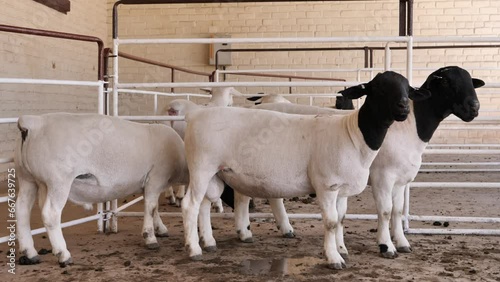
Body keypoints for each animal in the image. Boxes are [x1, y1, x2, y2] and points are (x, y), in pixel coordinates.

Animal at [182, 71, 432, 268]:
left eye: (407, 89)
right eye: (379, 88)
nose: (403, 107)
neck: (353, 134)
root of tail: (196, 114)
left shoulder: (341, 189)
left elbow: (340, 220)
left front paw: (341, 249)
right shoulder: (327, 185)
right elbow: (330, 222)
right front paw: (334, 259)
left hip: (215, 173)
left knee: (204, 204)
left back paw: (209, 242)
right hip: (201, 167)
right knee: (190, 205)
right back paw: (194, 250)